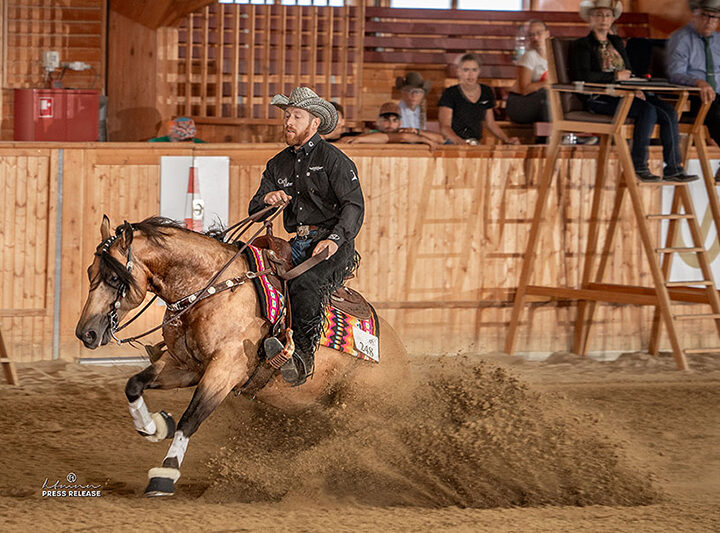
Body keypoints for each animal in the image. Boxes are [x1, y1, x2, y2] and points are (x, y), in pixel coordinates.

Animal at [76, 215, 408, 494]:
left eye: (115, 278)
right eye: (90, 272)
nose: (85, 333)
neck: (211, 290)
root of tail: (398, 352)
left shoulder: (225, 371)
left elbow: (191, 418)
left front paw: (165, 475)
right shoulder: (184, 365)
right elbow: (134, 384)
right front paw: (153, 426)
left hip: (358, 406)